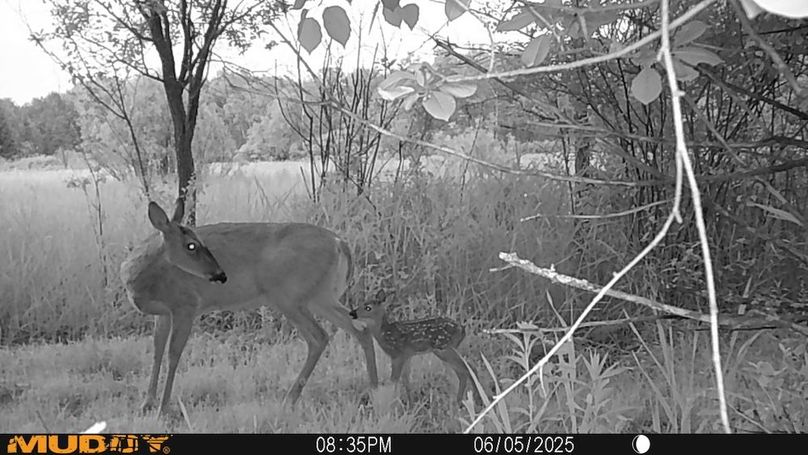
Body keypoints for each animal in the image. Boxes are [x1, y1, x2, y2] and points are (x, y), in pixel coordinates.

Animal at [119, 199, 378, 415]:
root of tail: (340, 243)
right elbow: (157, 349)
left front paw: (163, 408)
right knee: (359, 328)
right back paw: (374, 389)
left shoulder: (186, 305)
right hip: (320, 295)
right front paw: (146, 403)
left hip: (288, 295)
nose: (221, 274)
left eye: (198, 242)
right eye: (191, 245)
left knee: (319, 336)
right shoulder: (163, 312)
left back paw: (290, 398)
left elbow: (173, 354)